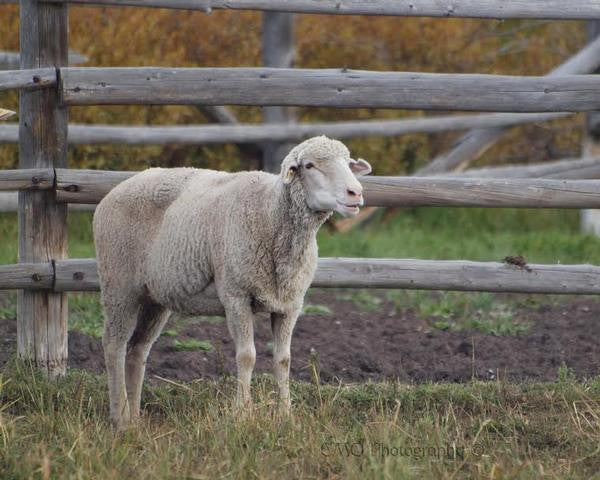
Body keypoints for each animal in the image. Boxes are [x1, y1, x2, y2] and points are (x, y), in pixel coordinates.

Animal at [93, 135, 370, 428]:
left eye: (349, 163)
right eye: (309, 165)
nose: (355, 193)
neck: (270, 214)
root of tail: (119, 187)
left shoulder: (290, 303)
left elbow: (283, 360)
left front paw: (286, 415)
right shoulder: (236, 296)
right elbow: (247, 356)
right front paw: (243, 414)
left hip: (155, 297)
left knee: (138, 350)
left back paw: (135, 418)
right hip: (118, 285)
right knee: (114, 346)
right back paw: (120, 416)